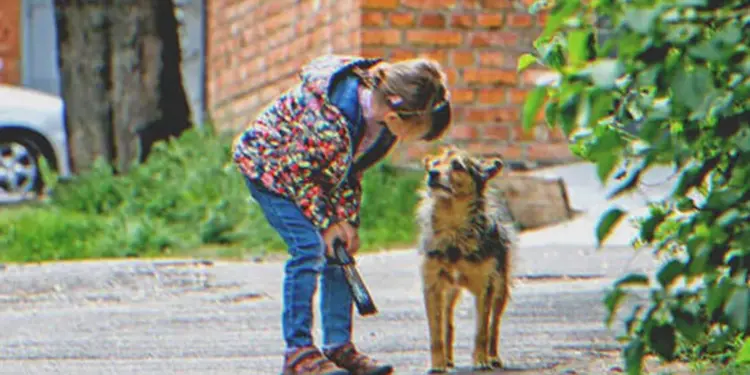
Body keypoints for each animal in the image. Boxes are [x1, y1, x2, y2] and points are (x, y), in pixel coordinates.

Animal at [418, 146, 516, 374]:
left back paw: (493, 357)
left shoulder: (486, 287)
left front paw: (481, 360)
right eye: (434, 164)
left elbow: (482, 330)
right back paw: (448, 359)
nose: (432, 174)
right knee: (447, 323)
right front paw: (437, 364)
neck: (454, 230)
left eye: (457, 165)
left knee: (494, 326)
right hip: (448, 292)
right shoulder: (432, 286)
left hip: (500, 288)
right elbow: (436, 332)